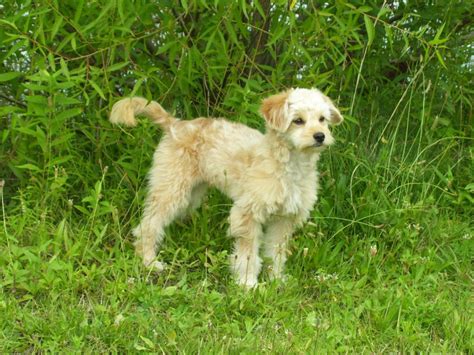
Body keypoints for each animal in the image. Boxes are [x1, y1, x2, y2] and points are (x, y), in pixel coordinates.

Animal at [109, 89, 342, 290]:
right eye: (298, 120)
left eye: (322, 119)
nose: (320, 136)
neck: (288, 167)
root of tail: (174, 124)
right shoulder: (247, 215)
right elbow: (248, 255)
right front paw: (248, 283)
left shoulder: (284, 220)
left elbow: (275, 252)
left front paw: (276, 279)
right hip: (172, 190)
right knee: (148, 225)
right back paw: (149, 261)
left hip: (191, 195)